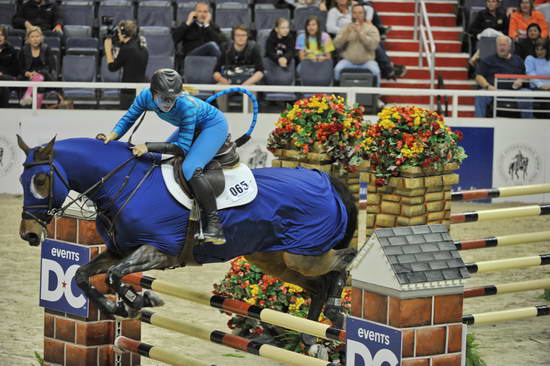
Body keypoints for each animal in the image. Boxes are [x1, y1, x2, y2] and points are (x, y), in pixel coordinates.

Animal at [17, 136, 360, 330]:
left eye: (41, 181)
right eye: (22, 180)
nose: (28, 234)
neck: (124, 185)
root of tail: (324, 179)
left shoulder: (157, 251)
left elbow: (114, 276)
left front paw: (139, 300)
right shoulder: (119, 250)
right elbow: (82, 276)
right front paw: (120, 306)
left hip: (303, 253)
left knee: (341, 262)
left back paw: (334, 311)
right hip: (274, 259)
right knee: (317, 286)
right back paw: (307, 332)